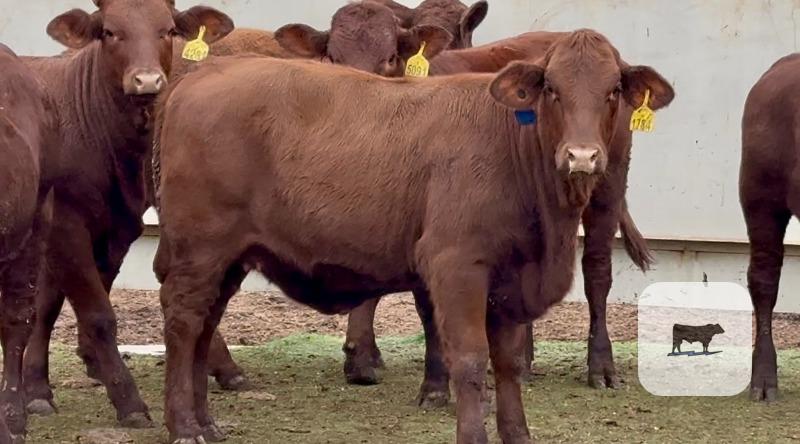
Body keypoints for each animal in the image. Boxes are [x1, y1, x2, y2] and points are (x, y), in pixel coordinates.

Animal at [18, 0, 234, 429]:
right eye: (109, 32)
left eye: (168, 30)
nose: (147, 81)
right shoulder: (65, 224)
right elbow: (97, 313)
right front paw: (129, 401)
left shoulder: (116, 228)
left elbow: (56, 301)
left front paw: (37, 388)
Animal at [152, 29, 674, 443]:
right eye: (551, 88)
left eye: (613, 90)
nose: (581, 156)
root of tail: (202, 76)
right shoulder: (456, 265)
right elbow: (470, 360)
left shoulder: (510, 279)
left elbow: (506, 364)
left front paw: (517, 434)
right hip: (200, 248)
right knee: (183, 324)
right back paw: (184, 427)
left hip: (230, 258)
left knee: (205, 326)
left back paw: (205, 423)